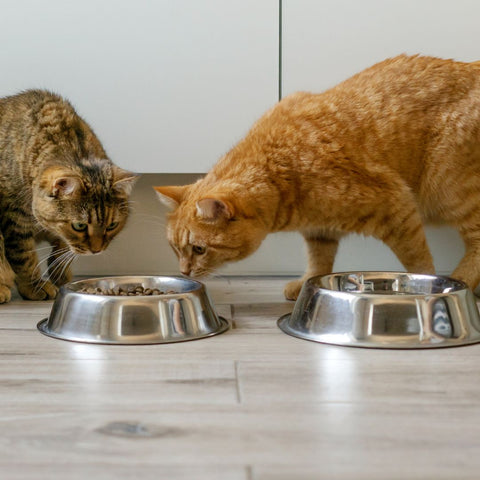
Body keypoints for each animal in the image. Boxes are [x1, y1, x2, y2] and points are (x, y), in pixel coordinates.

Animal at [0, 89, 137, 304]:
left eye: (112, 226)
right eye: (79, 226)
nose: (96, 250)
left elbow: (63, 247)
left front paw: (60, 273)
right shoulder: (15, 220)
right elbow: (24, 257)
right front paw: (34, 286)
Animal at [155, 55, 480, 300]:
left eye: (199, 249)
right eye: (174, 248)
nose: (183, 271)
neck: (281, 169)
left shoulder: (397, 206)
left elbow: (418, 261)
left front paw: (425, 285)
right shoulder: (320, 232)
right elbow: (319, 264)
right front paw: (306, 285)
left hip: (447, 188)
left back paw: (462, 281)